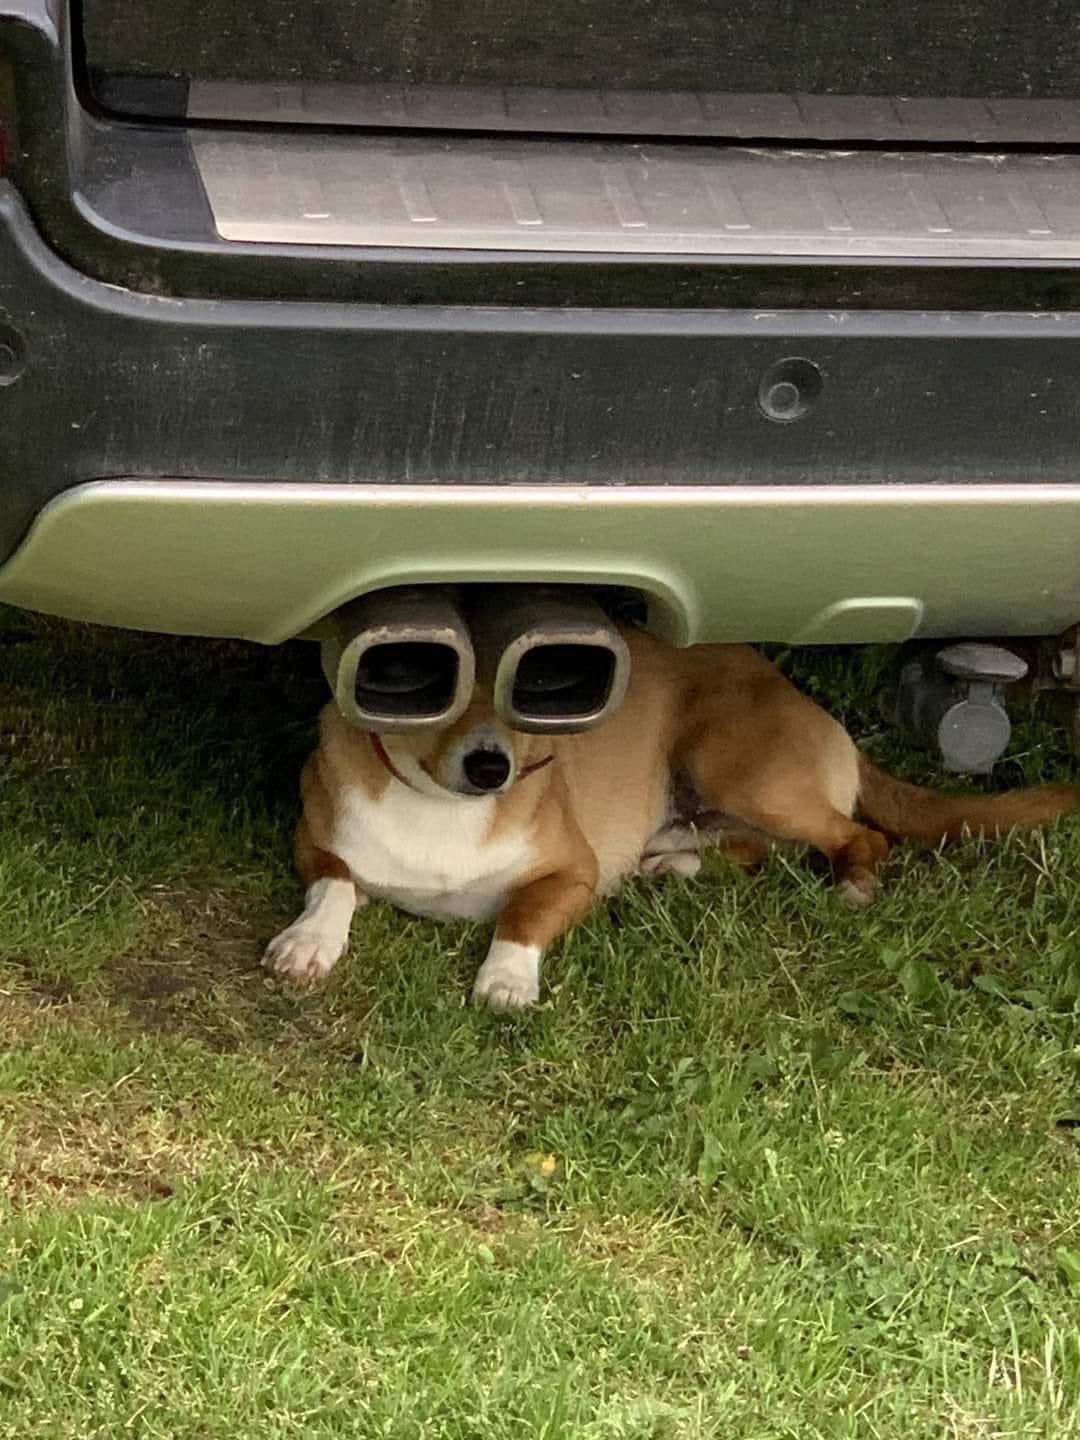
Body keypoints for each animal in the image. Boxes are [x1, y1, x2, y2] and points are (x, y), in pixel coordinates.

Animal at [263, 629, 1078, 1008]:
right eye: (439, 691)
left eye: (529, 697)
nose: (491, 768)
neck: (441, 807)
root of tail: (808, 704)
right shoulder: (316, 844)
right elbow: (337, 885)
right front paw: (309, 943)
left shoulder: (573, 873)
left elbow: (522, 915)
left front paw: (506, 978)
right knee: (754, 851)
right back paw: (672, 862)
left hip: (736, 767)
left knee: (857, 834)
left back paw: (853, 885)